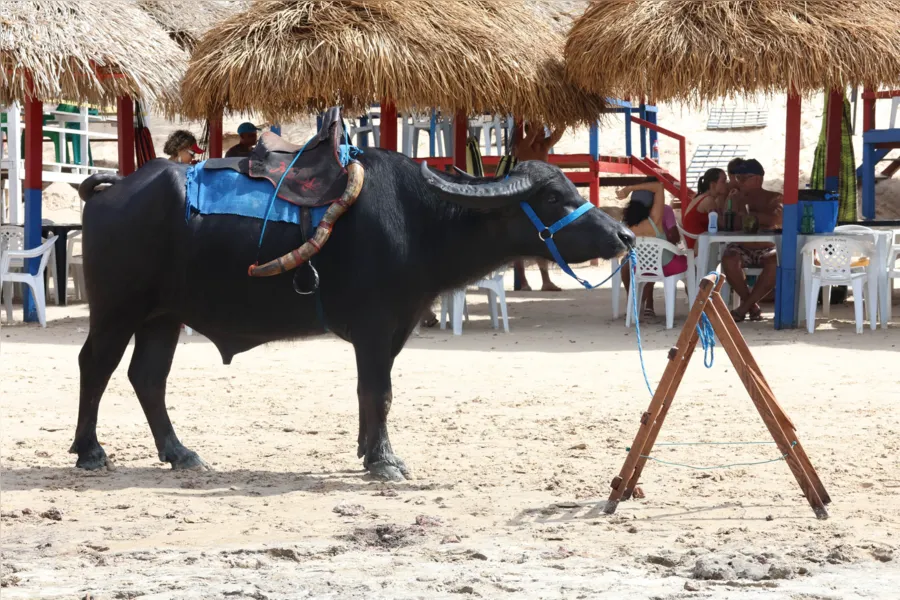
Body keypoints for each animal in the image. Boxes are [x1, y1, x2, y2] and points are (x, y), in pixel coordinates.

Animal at [72, 143, 632, 480]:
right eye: (555, 197)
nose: (624, 235)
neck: (421, 219)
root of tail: (113, 190)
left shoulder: (395, 330)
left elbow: (372, 394)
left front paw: (367, 452)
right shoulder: (375, 328)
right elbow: (378, 392)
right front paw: (384, 461)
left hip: (163, 317)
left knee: (148, 377)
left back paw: (180, 453)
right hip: (118, 309)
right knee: (95, 365)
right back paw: (90, 451)